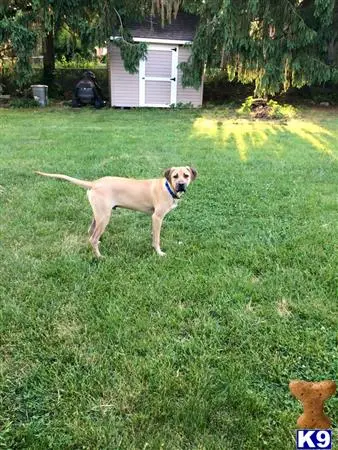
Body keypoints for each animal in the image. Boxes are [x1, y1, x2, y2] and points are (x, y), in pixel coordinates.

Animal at [35, 166, 197, 258]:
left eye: (186, 176)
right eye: (175, 176)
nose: (181, 185)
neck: (167, 187)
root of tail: (94, 183)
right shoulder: (157, 217)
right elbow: (156, 238)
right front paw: (159, 253)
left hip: (98, 215)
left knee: (91, 232)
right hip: (104, 217)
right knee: (92, 238)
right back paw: (100, 257)